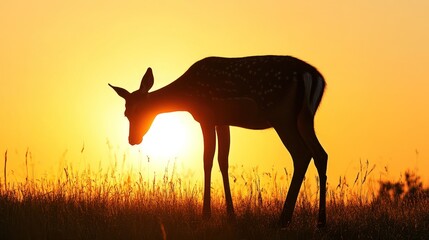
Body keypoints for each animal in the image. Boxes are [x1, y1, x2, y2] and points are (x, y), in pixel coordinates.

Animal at [108, 55, 326, 228]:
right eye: (126, 113)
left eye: (135, 111)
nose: (133, 139)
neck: (188, 96)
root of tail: (313, 76)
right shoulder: (223, 122)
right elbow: (223, 161)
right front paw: (231, 215)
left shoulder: (207, 117)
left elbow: (207, 161)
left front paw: (206, 215)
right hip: (306, 118)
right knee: (320, 154)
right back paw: (320, 222)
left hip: (281, 115)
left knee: (301, 153)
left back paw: (283, 220)